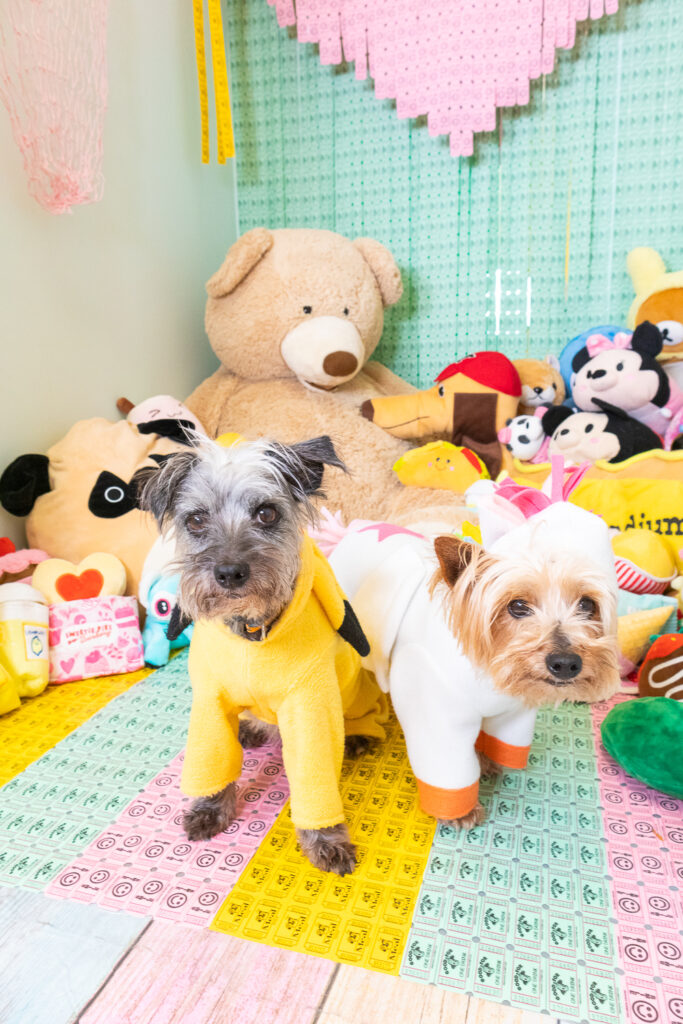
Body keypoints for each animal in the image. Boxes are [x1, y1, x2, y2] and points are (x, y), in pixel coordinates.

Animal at [132, 436, 378, 876]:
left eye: (266, 512)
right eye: (196, 520)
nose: (230, 572)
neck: (250, 631)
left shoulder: (310, 709)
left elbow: (314, 781)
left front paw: (326, 839)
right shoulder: (210, 706)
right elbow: (212, 762)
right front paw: (209, 809)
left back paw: (359, 736)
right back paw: (251, 729)